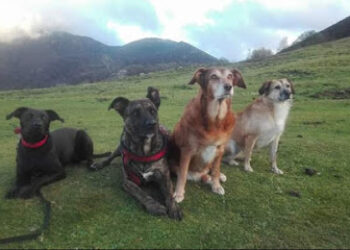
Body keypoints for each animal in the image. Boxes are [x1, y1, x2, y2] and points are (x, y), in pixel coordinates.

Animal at [91, 88, 182, 221]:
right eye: (135, 113)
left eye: (153, 111)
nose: (152, 124)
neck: (144, 151)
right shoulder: (128, 181)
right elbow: (141, 193)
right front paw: (154, 206)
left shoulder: (164, 176)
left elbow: (169, 193)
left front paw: (174, 207)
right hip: (120, 146)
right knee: (111, 156)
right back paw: (98, 164)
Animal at [169, 67, 246, 203]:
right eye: (213, 76)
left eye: (230, 76)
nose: (229, 86)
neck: (215, 121)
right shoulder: (187, 151)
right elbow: (183, 174)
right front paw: (179, 193)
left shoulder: (220, 149)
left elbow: (215, 170)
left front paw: (216, 185)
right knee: (200, 176)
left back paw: (220, 176)